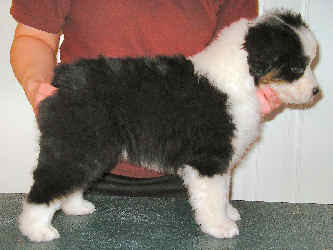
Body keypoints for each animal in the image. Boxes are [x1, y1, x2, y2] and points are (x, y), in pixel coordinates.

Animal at [18, 10, 320, 242]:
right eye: (297, 67)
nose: (317, 92)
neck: (241, 79)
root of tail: (62, 78)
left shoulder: (222, 158)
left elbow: (224, 190)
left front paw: (229, 212)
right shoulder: (209, 158)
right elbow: (212, 197)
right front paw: (220, 226)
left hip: (93, 148)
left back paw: (76, 207)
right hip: (77, 143)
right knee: (47, 186)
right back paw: (36, 230)